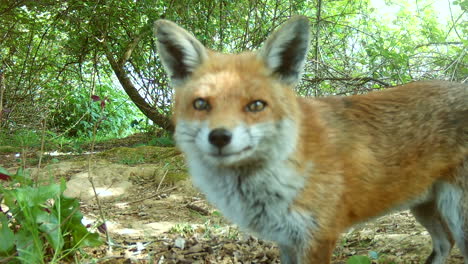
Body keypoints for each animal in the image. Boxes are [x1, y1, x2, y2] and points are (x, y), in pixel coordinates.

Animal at [153, 17, 464, 264]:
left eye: (256, 105)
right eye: (201, 104)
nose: (219, 137)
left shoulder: (318, 237)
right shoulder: (287, 238)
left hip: (459, 216)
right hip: (424, 206)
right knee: (444, 243)